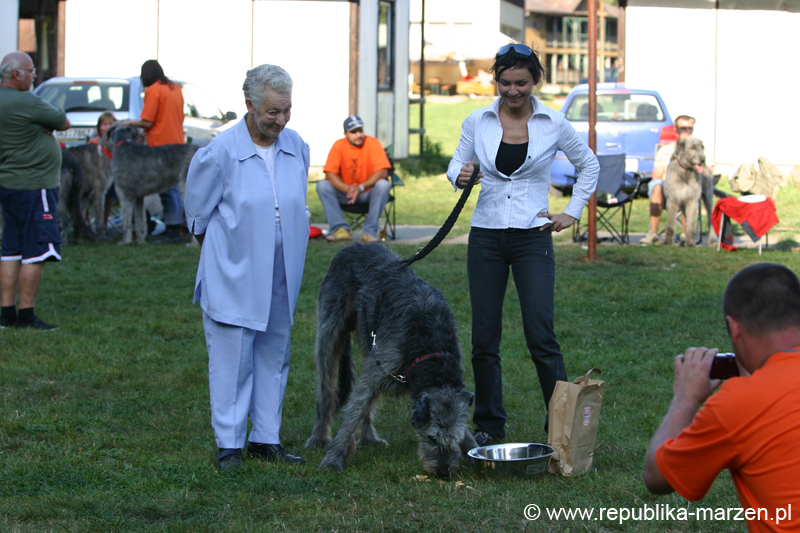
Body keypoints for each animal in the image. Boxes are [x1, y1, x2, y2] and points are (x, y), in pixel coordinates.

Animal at [308, 243, 478, 476]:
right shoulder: (382, 367)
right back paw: (319, 436)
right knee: (327, 392)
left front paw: (474, 452)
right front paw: (333, 459)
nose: (443, 472)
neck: (428, 347)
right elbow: (352, 416)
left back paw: (369, 438)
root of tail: (354, 245)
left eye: (455, 438)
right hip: (330, 331)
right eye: (431, 438)